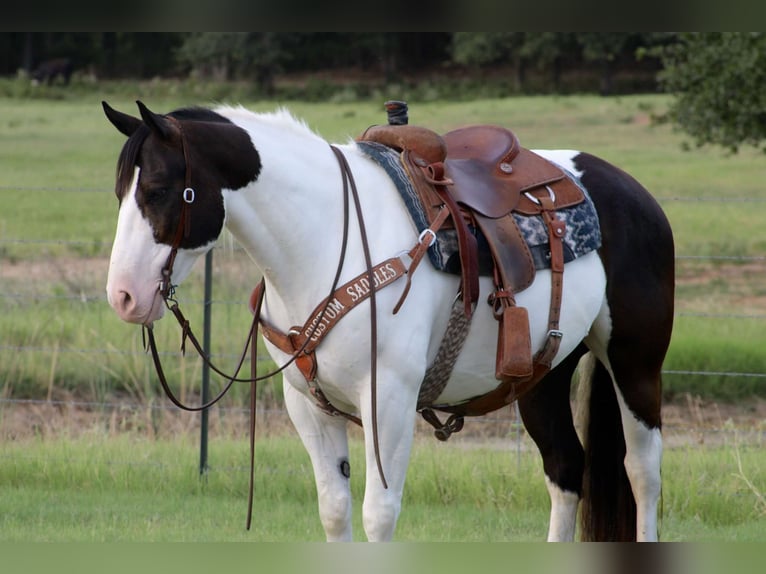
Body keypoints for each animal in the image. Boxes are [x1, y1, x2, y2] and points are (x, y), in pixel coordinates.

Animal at [103, 100, 680, 544]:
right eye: (119, 192)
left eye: (158, 190)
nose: (123, 296)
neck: (325, 235)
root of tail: (632, 191)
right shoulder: (307, 404)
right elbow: (335, 511)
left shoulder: (390, 401)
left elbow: (378, 515)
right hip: (544, 375)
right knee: (565, 468)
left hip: (634, 364)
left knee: (642, 471)